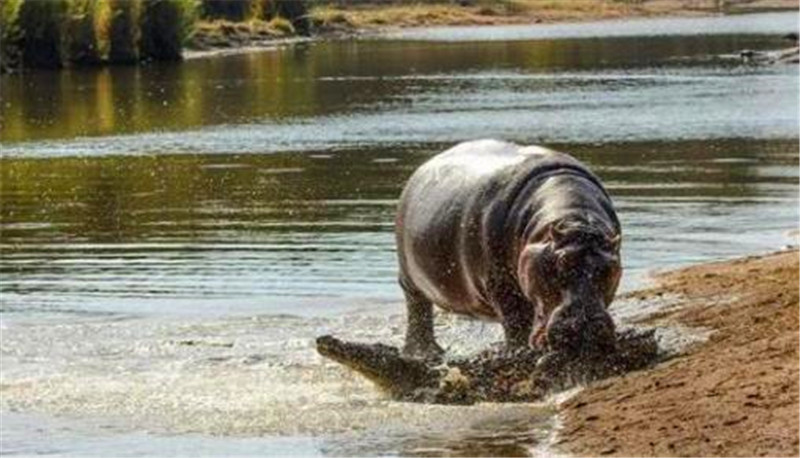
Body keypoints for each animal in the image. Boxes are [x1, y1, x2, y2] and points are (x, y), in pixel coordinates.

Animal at [396, 139, 620, 358]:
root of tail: (422, 168)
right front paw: (520, 351)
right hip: (410, 280)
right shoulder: (501, 286)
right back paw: (424, 353)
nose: (586, 328)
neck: (574, 216)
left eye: (609, 269)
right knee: (418, 310)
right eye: (560, 263)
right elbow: (516, 322)